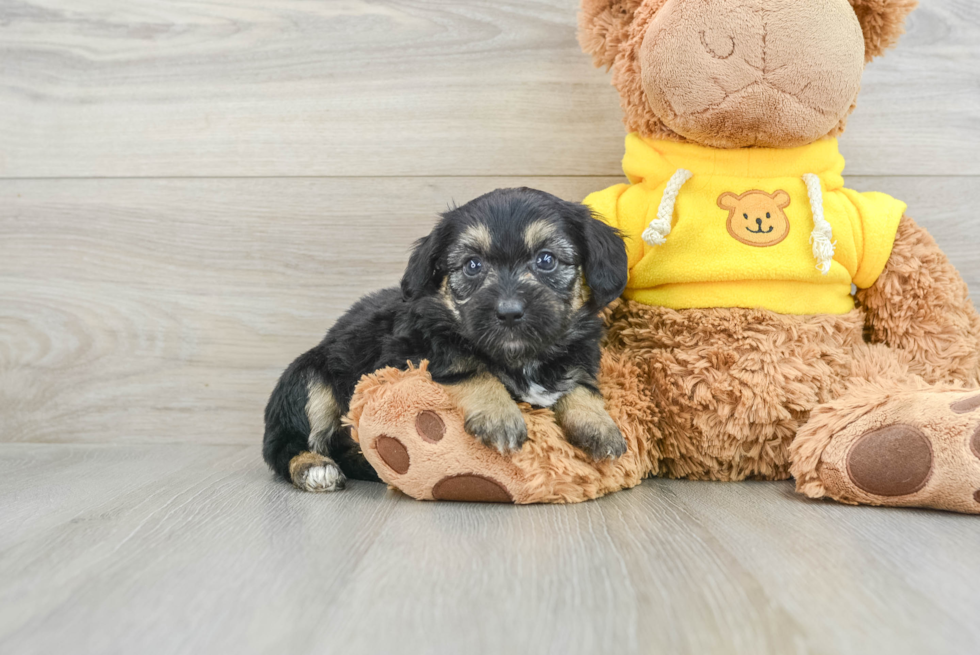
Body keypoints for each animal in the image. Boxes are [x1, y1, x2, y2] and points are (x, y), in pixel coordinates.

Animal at [260, 186, 628, 492]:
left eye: (547, 260)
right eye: (472, 265)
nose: (509, 312)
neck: (519, 356)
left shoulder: (577, 354)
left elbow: (580, 387)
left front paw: (600, 426)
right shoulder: (415, 352)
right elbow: (468, 366)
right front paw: (499, 416)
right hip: (309, 381)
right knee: (285, 446)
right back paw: (315, 468)